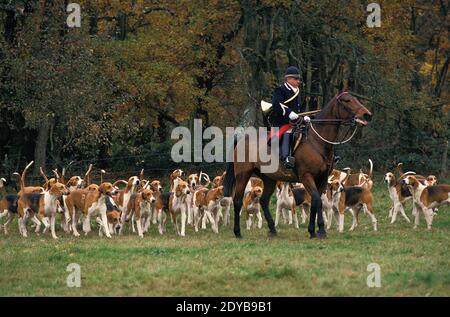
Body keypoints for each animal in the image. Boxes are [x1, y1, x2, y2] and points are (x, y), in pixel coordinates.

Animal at [221, 90, 372, 238]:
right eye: (347, 100)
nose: (367, 115)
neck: (317, 141)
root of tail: (242, 139)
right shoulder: (306, 176)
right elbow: (316, 200)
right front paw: (317, 230)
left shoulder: (322, 178)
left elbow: (317, 201)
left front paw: (316, 230)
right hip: (243, 175)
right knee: (237, 200)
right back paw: (237, 232)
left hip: (269, 178)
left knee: (263, 201)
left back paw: (272, 230)